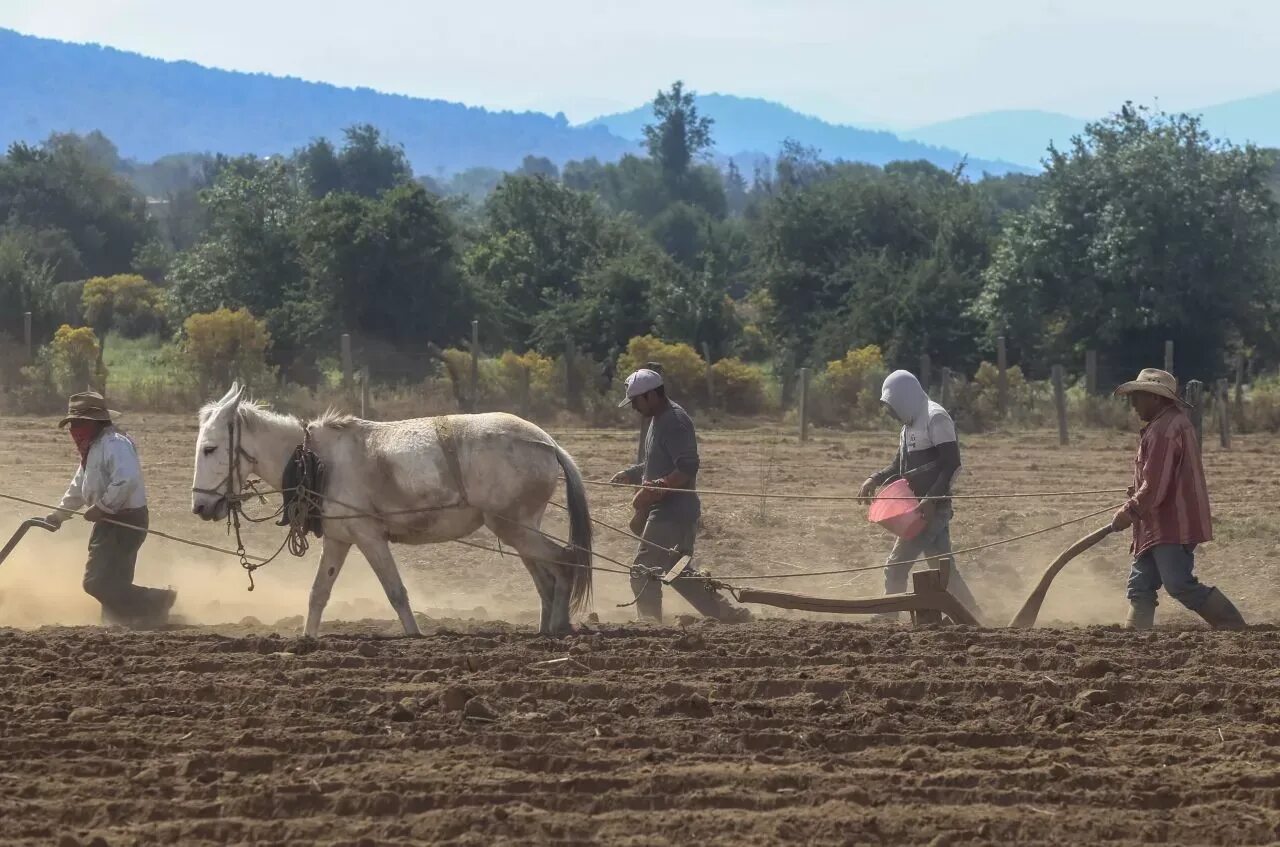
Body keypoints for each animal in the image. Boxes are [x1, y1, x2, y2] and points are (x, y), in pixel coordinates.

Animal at [188, 383, 593, 637]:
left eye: (210, 448)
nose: (200, 505)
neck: (317, 460)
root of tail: (546, 442)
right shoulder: (338, 540)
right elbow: (318, 592)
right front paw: (307, 640)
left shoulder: (369, 535)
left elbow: (395, 590)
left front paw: (414, 636)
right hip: (519, 530)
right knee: (544, 578)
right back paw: (543, 630)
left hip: (515, 527)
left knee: (563, 562)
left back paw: (559, 628)